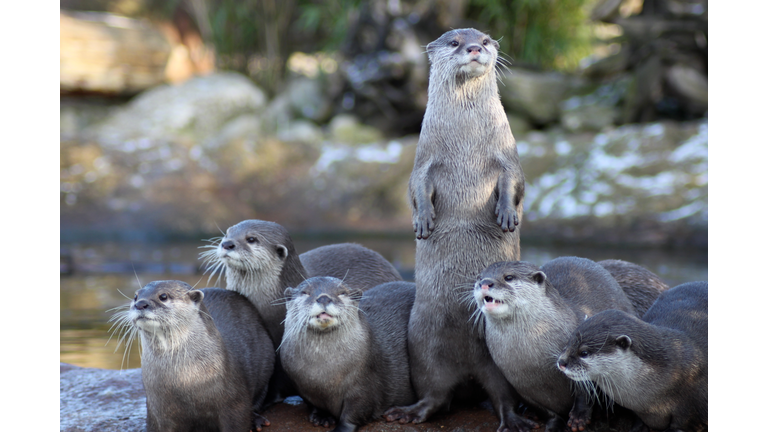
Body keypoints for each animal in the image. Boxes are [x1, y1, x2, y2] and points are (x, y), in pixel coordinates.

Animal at [115, 280, 274, 432]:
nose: (140, 304)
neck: (185, 382)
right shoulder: (157, 413)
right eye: (136, 296)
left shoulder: (234, 402)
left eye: (163, 296)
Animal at [280, 277, 416, 432]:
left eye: (342, 293)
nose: (324, 298)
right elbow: (313, 404)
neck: (323, 374)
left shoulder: (364, 385)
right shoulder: (303, 388)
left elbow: (354, 412)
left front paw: (341, 428)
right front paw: (322, 417)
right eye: (305, 292)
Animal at [384, 28, 531, 432]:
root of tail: (468, 369)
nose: (475, 47)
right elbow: (415, 187)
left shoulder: (507, 154)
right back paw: (410, 412)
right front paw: (422, 221)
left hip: (495, 361)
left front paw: (507, 215)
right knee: (436, 394)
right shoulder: (424, 158)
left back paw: (513, 420)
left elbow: (515, 182)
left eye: (486, 38)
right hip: (422, 344)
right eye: (454, 42)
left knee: (502, 395)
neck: (466, 140)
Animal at [473, 257, 636, 432]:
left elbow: (584, 391)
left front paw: (579, 417)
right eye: (479, 277)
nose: (484, 283)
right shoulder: (520, 386)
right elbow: (544, 410)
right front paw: (555, 424)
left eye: (509, 277)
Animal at [557, 281, 708, 432]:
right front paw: (639, 426)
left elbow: (682, 423)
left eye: (584, 353)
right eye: (568, 342)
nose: (561, 362)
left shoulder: (690, 407)